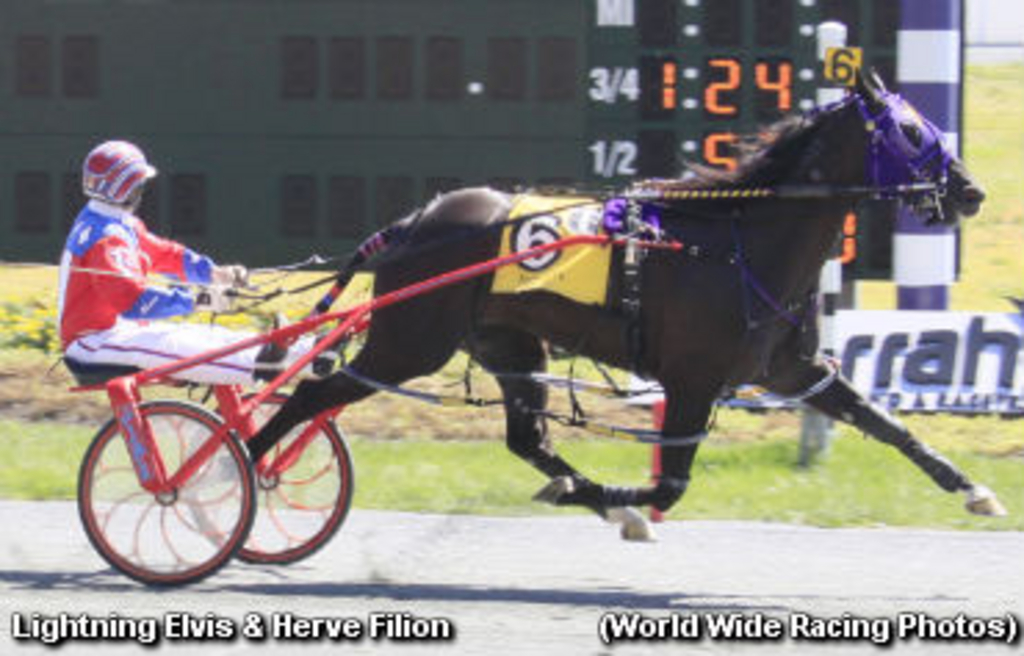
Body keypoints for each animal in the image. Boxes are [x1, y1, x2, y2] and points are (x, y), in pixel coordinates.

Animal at [248, 72, 1002, 538]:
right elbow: (670, 486)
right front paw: (629, 505)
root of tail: (411, 223)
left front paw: (974, 488)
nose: (970, 192)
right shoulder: (693, 377)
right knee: (309, 396)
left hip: (508, 345)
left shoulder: (794, 369)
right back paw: (239, 468)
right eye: (911, 131)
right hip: (408, 343)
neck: (739, 242)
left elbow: (886, 424)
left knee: (528, 439)